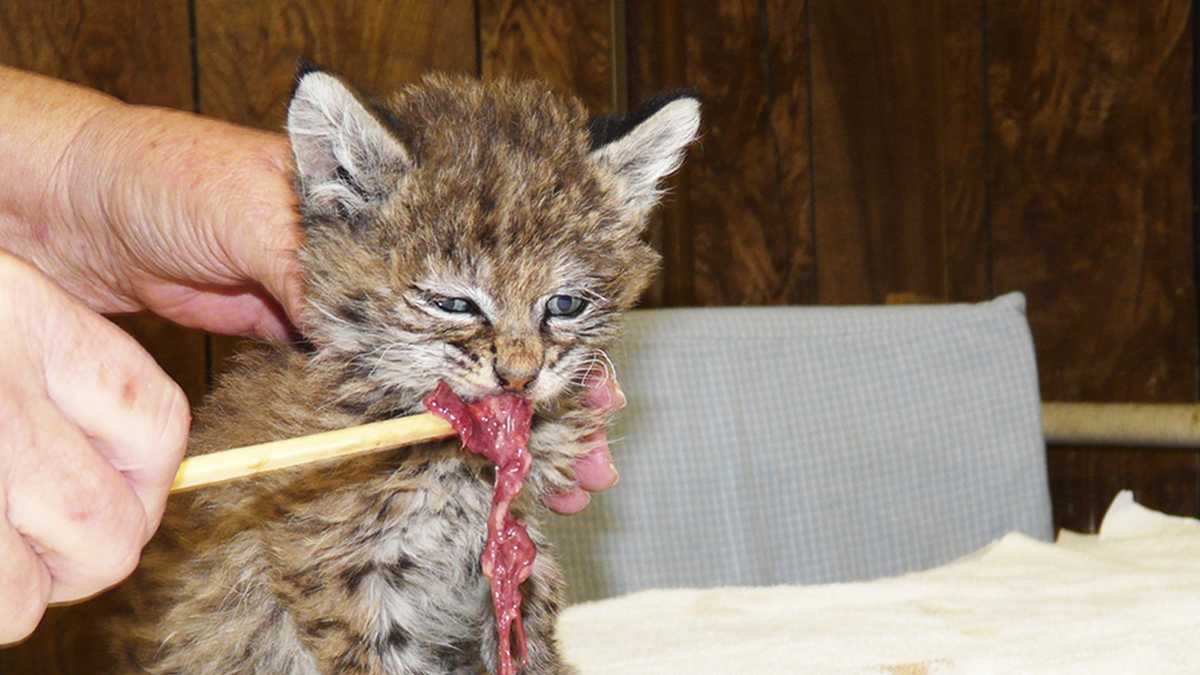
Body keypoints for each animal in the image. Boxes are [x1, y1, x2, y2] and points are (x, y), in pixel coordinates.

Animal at [108, 69, 700, 672]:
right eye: (455, 304)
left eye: (564, 305)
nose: (518, 377)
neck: (454, 466)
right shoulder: (346, 574)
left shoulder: (512, 551)